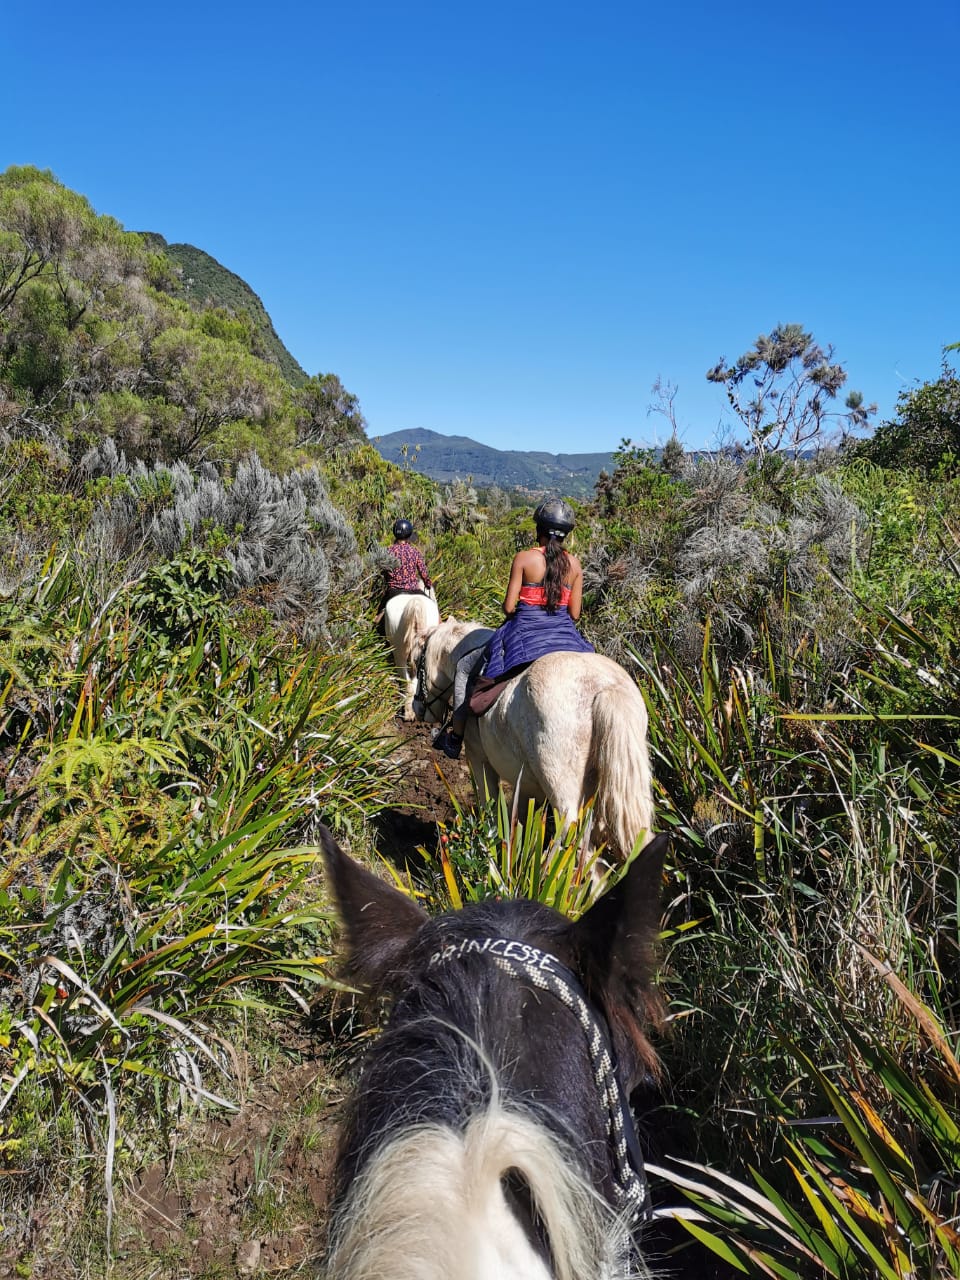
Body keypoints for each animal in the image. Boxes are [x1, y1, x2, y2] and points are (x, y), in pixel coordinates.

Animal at [414, 616, 655, 860]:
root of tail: (604, 688)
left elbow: (491, 810)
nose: (416, 708)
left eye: (417, 663)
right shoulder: (526, 784)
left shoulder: (478, 760)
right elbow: (516, 821)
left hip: (563, 793)